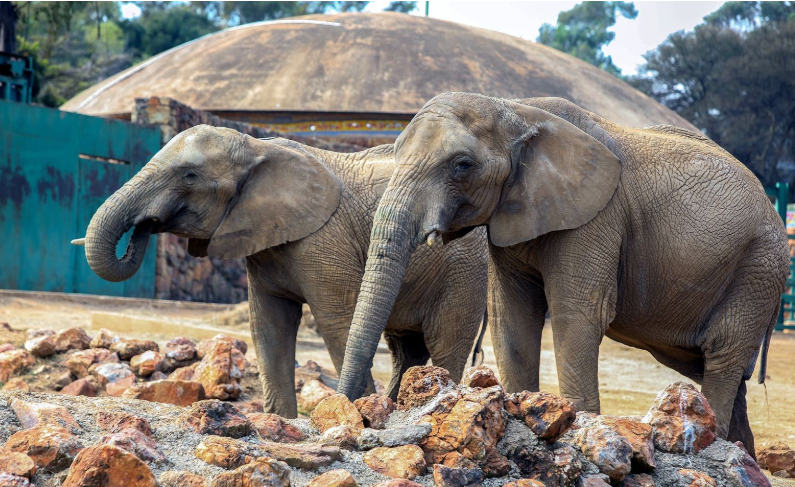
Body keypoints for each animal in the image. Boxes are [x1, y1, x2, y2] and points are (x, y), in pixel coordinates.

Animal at [79, 124, 488, 417]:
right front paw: (283, 422)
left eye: (190, 176)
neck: (257, 147)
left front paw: (354, 413)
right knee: (407, 350)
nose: (144, 223)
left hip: (463, 274)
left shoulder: (326, 239)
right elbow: (268, 325)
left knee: (444, 345)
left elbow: (337, 323)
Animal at [336, 93, 789, 454]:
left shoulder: (596, 218)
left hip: (757, 269)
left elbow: (577, 316)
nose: (354, 417)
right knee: (712, 368)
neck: (516, 110)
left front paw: (579, 429)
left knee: (722, 359)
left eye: (462, 165)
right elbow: (510, 317)